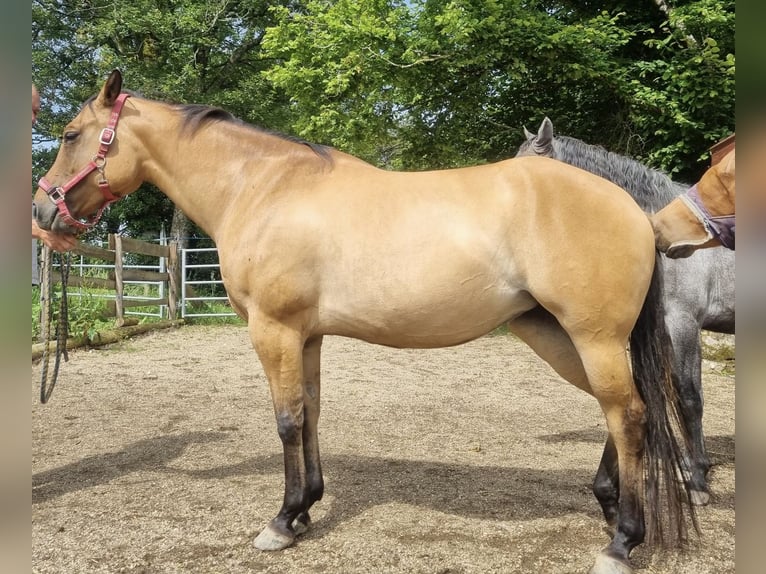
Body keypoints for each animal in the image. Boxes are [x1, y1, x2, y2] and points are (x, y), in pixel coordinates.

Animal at [34, 72, 696, 574]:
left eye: (70, 134)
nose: (42, 209)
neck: (265, 188)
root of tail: (633, 209)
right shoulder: (306, 335)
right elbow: (310, 413)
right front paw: (306, 508)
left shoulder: (273, 330)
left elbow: (286, 419)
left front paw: (281, 521)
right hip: (555, 334)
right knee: (620, 411)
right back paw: (608, 507)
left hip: (592, 337)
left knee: (630, 416)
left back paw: (622, 541)